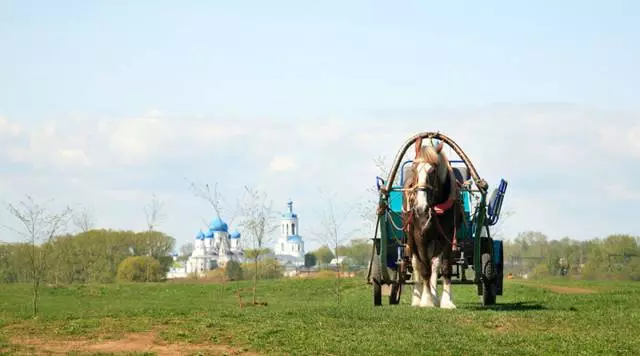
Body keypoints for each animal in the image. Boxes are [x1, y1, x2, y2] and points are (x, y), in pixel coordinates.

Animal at [402, 138, 462, 308]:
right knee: (417, 264)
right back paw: (418, 298)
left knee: (435, 264)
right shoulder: (420, 236)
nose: (421, 209)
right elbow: (424, 269)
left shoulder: (447, 236)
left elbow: (445, 266)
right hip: (411, 238)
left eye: (433, 171)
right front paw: (426, 300)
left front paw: (446, 301)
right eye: (414, 169)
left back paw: (435, 296)